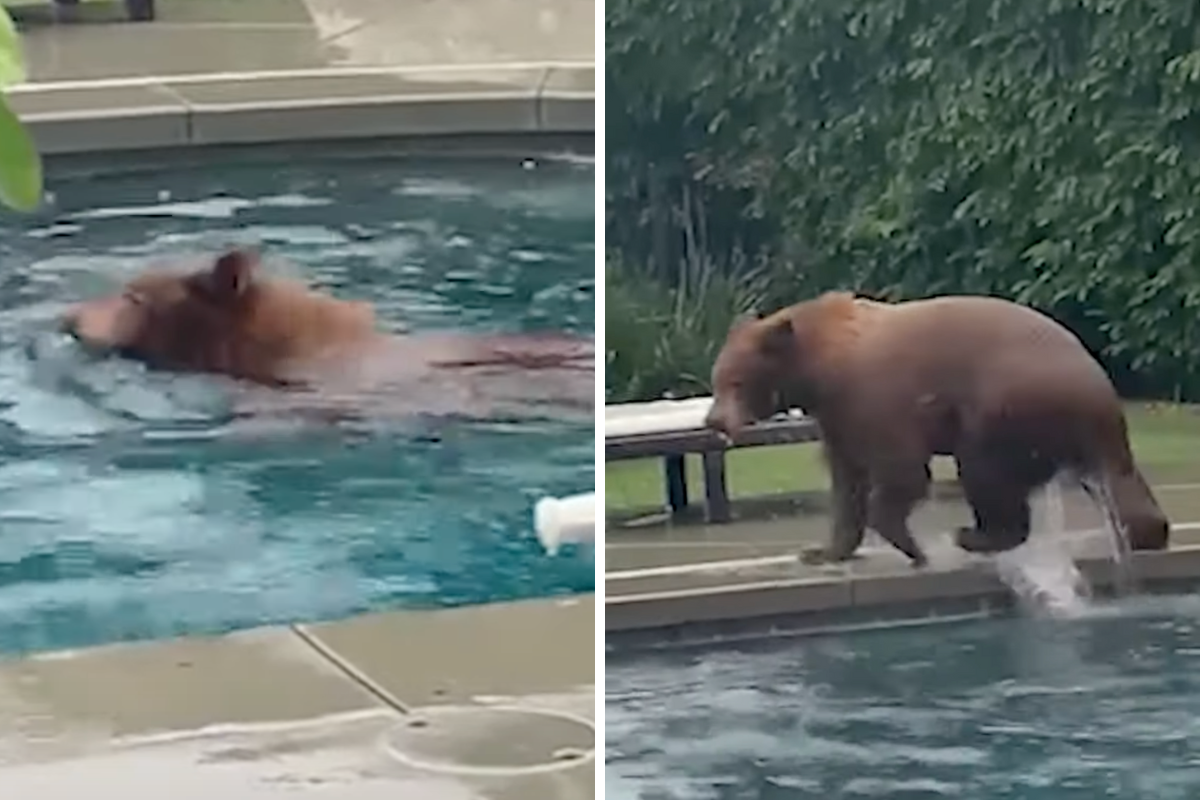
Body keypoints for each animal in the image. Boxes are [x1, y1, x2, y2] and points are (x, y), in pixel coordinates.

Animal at [705, 293, 1166, 568]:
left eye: (737, 381)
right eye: (717, 377)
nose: (714, 421)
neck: (820, 367)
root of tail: (1098, 386)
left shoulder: (875, 397)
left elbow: (901, 470)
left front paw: (908, 543)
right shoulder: (837, 416)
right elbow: (847, 480)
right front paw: (823, 550)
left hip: (1007, 403)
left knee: (984, 468)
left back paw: (976, 535)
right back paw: (1147, 532)